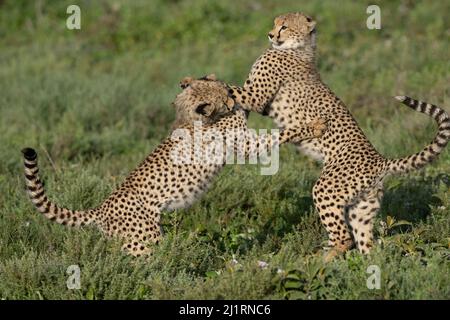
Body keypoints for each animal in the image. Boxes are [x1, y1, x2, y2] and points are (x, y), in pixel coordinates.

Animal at [21, 74, 326, 256]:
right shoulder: (245, 144)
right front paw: (312, 125)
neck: (195, 117)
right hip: (145, 242)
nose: (230, 98)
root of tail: (102, 207)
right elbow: (276, 134)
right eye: (223, 98)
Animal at [229, 11, 450, 260]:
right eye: (275, 24)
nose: (270, 34)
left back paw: (320, 260)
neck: (299, 48)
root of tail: (379, 159)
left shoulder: (255, 97)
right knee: (366, 245)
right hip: (361, 209)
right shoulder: (261, 102)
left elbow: (228, 88)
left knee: (344, 238)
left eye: (283, 27)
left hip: (326, 190)